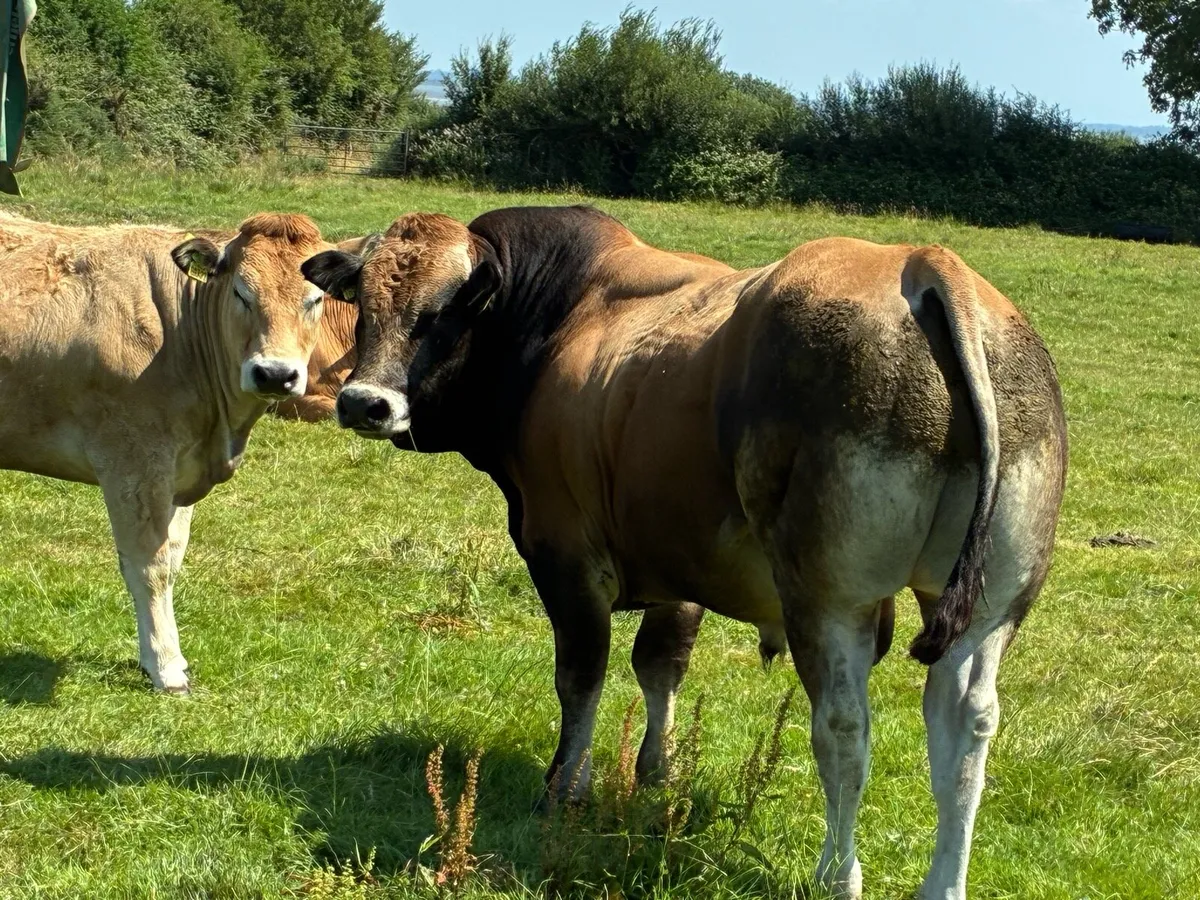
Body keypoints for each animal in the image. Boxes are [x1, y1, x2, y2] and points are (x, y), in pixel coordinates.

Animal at [0, 211, 334, 693]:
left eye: (315, 299)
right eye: (241, 293)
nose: (275, 374)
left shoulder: (179, 468)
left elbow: (173, 560)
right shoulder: (135, 461)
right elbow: (150, 567)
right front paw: (165, 666)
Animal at [301, 206, 1067, 900]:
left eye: (442, 311)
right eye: (364, 304)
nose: (365, 403)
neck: (552, 318)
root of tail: (923, 264)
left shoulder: (564, 552)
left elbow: (582, 678)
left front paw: (564, 789)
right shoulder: (679, 562)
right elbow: (659, 666)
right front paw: (656, 774)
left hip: (829, 602)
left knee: (844, 730)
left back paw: (836, 875)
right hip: (984, 611)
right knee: (965, 727)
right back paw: (943, 881)